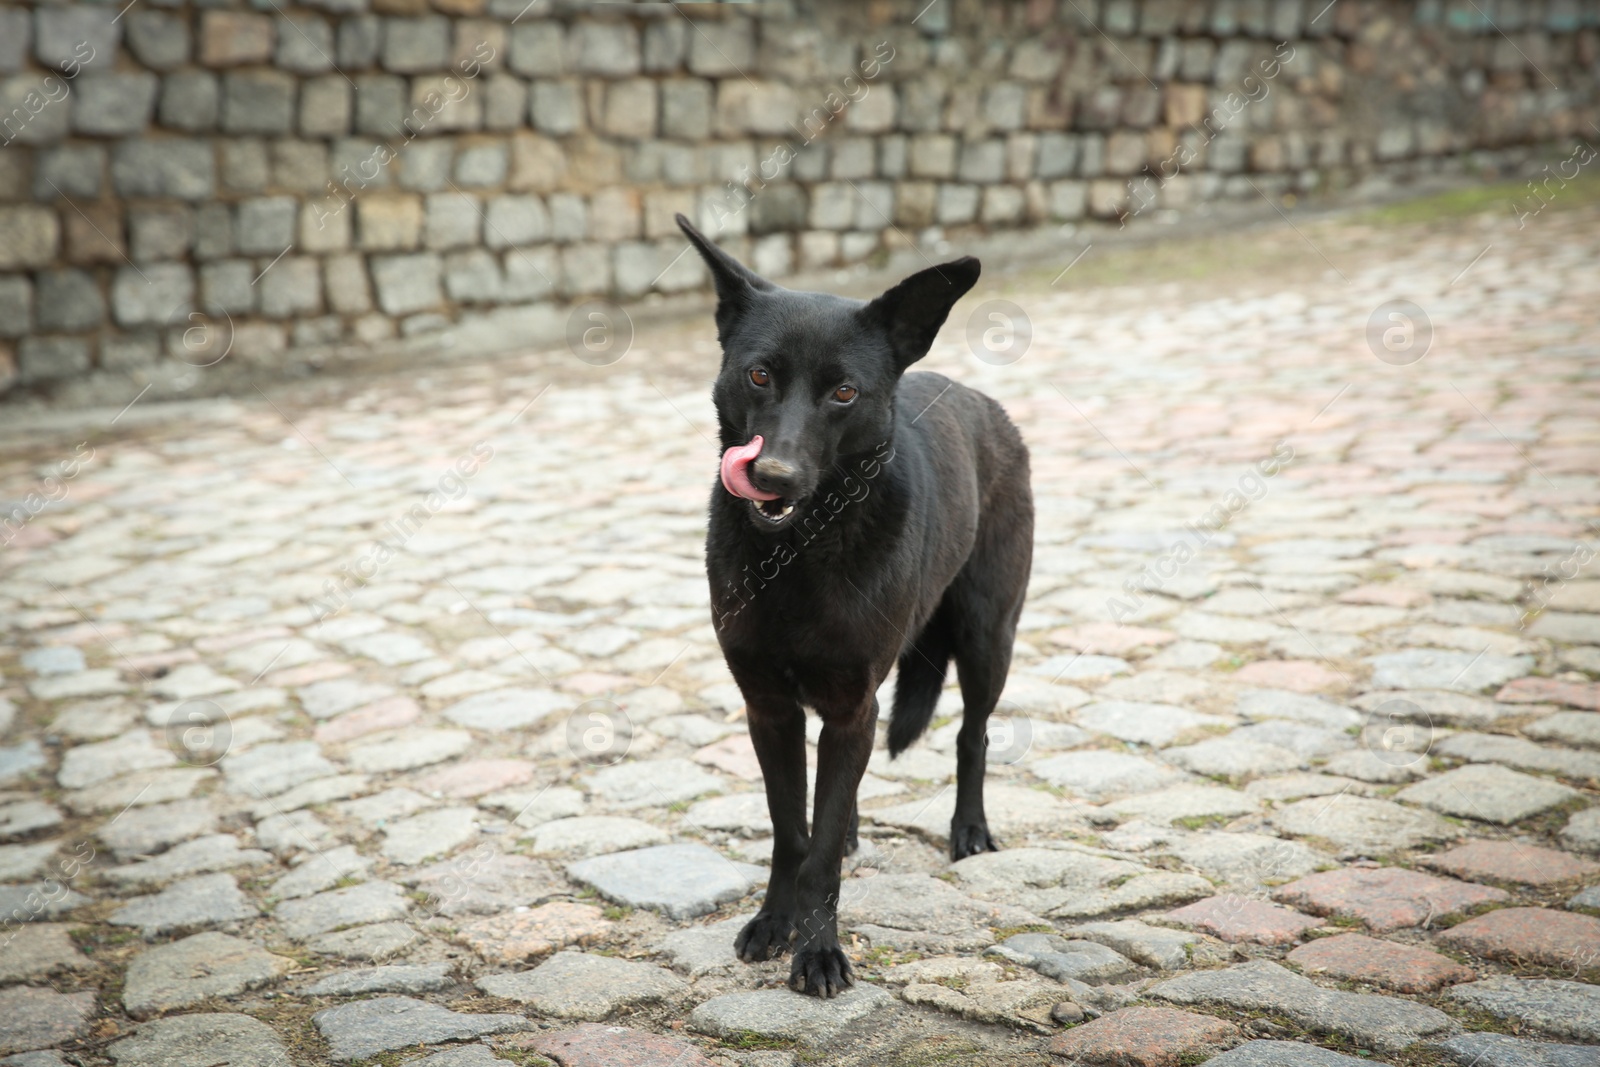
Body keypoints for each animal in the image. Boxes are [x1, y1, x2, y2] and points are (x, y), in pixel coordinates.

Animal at [678, 217, 1036, 1004]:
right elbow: (792, 830)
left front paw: (817, 951)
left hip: (987, 637)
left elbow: (820, 856)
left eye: (844, 392)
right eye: (759, 375)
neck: (799, 555)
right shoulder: (770, 709)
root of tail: (977, 397)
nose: (772, 475)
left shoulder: (851, 707)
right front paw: (775, 921)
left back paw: (970, 830)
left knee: (973, 735)